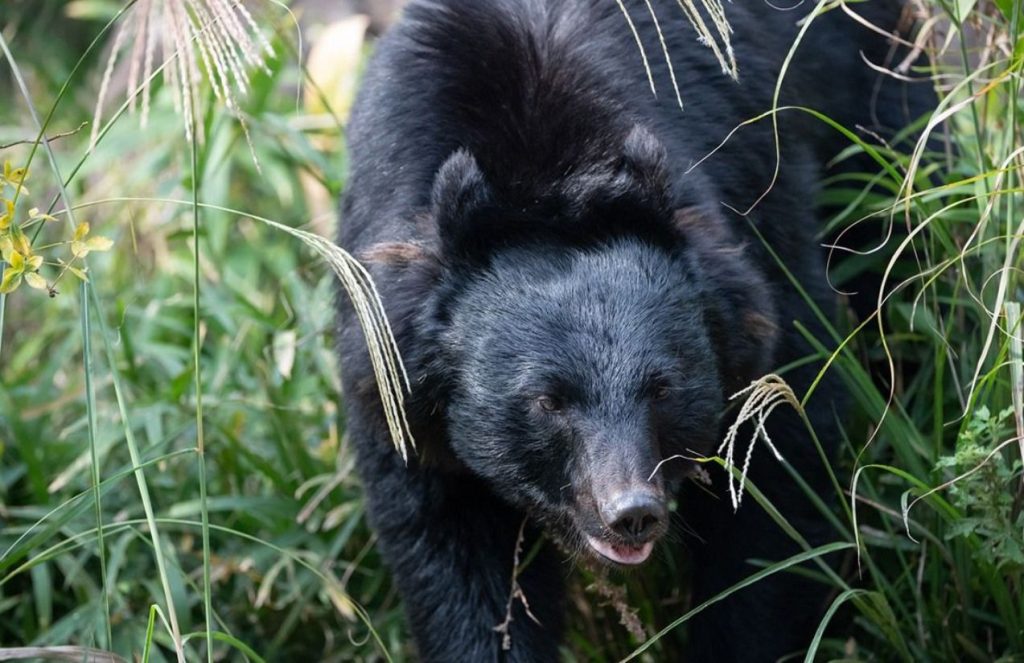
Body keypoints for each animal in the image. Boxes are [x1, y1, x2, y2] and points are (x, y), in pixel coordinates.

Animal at [335, 0, 934, 660]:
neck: (545, 178)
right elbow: (455, 558)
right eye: (547, 402)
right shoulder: (394, 379)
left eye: (663, 389)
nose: (631, 512)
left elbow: (779, 463)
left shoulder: (759, 255)